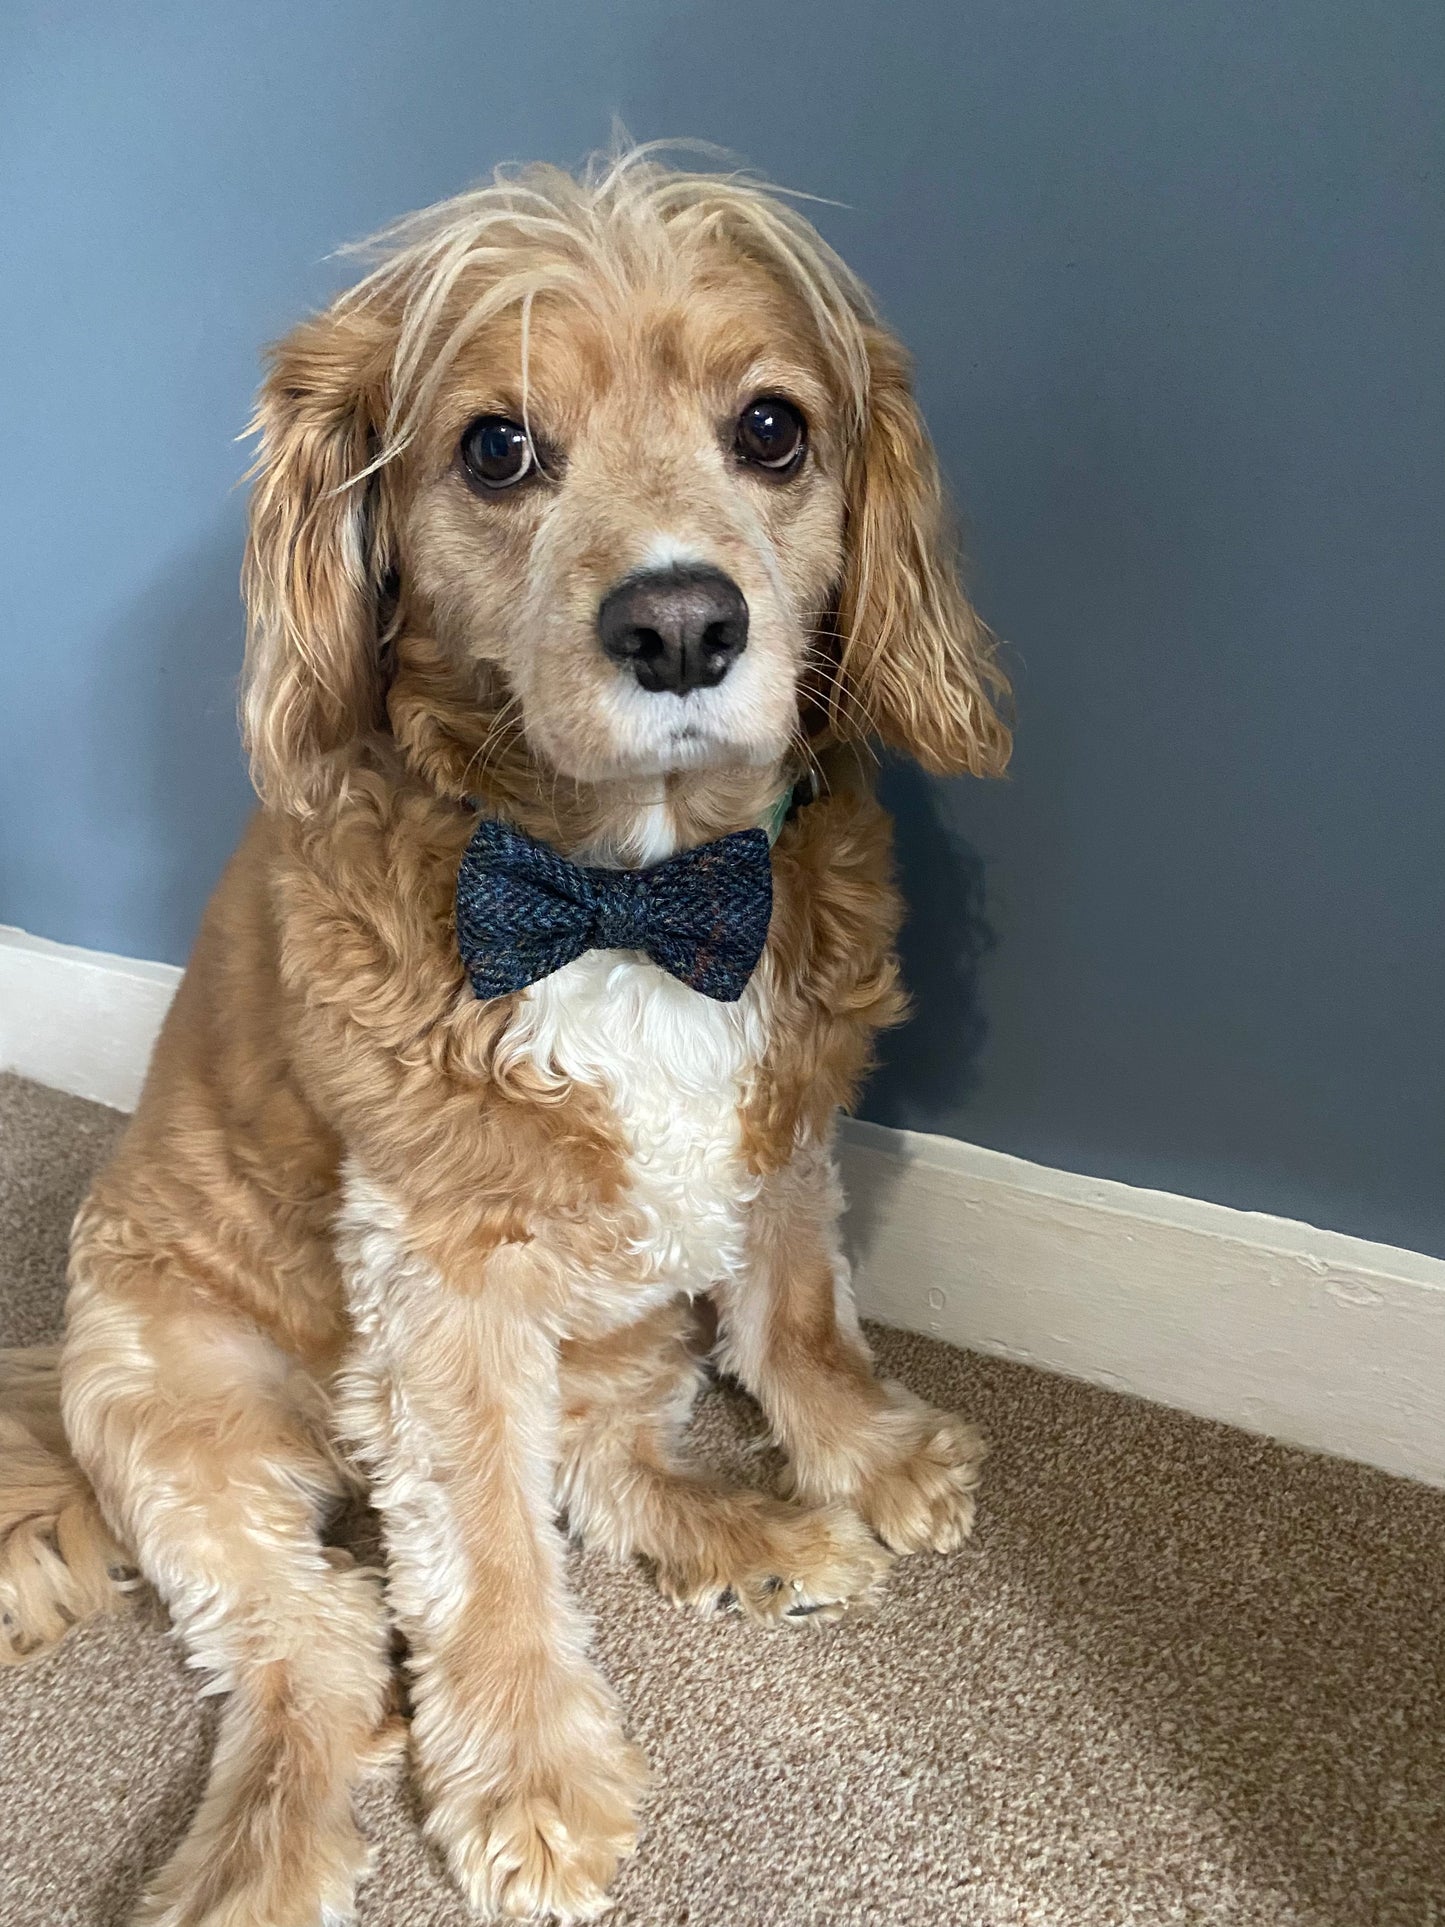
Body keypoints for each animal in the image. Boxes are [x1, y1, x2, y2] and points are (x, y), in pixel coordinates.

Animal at [0, 142, 1009, 1919]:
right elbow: (477, 1543)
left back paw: (758, 1538)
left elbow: (799, 1306)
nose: (679, 625)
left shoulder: (785, 1115)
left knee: (596, 1465)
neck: (631, 892)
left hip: (624, 1324)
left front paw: (863, 1456)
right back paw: (253, 1861)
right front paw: (532, 1772)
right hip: (180, 1403)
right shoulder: (441, 1270)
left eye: (773, 427)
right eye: (496, 447)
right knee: (323, 1638)